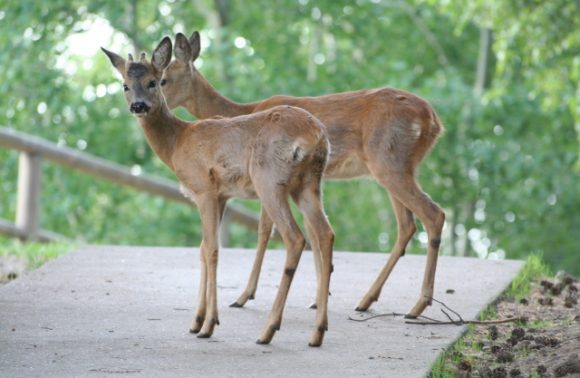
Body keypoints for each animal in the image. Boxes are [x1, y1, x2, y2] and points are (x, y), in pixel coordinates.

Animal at [102, 37, 334, 346]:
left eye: (155, 81)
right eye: (125, 85)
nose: (138, 106)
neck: (178, 143)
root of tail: (316, 135)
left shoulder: (204, 190)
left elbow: (211, 249)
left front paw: (209, 324)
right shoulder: (222, 195)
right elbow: (202, 249)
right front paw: (196, 320)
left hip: (269, 179)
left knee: (295, 238)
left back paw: (268, 330)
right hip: (309, 183)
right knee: (325, 233)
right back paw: (317, 332)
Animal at [161, 31, 446, 318]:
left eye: (162, 79)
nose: (149, 105)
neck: (243, 111)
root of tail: (434, 121)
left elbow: (265, 231)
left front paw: (244, 296)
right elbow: (313, 231)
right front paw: (319, 297)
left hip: (388, 162)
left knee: (433, 214)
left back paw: (417, 305)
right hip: (397, 167)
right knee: (407, 225)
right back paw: (368, 300)